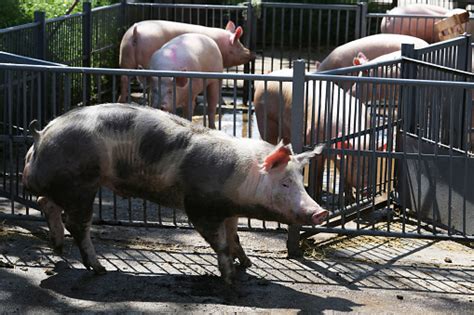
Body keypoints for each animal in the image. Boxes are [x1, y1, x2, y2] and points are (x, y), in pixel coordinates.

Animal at [118, 19, 256, 103]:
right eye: (239, 45)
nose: (252, 54)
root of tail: (136, 32)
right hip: (145, 55)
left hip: (124, 54)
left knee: (124, 78)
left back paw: (122, 100)